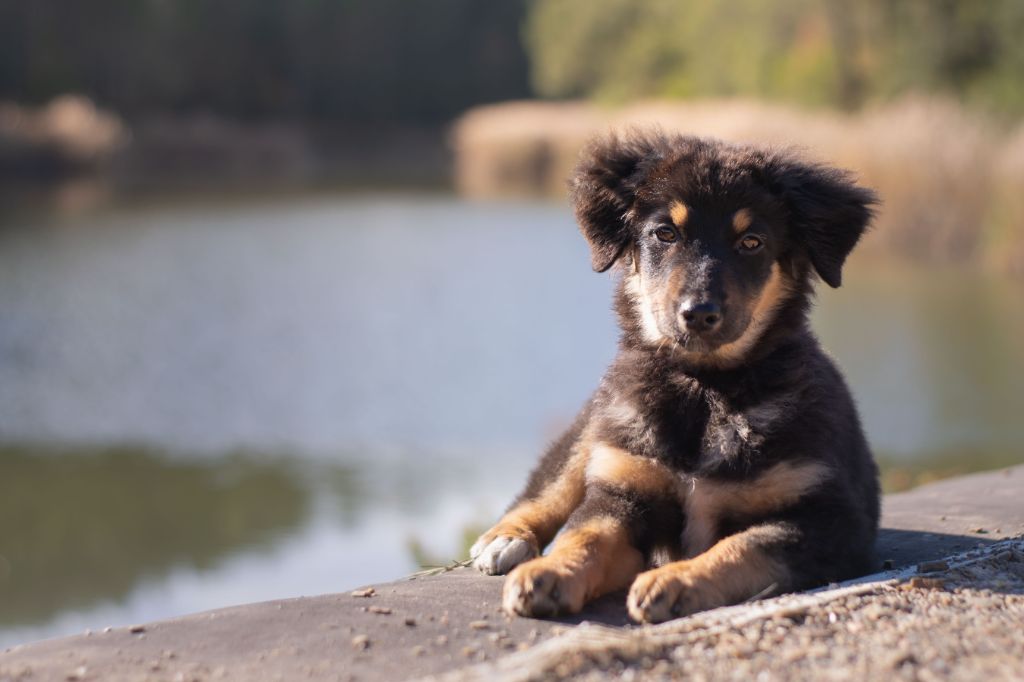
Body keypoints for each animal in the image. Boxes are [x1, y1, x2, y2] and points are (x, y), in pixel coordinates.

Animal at [471, 129, 880, 622]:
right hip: (597, 429)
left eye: (752, 242)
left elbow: (744, 545)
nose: (699, 313)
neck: (704, 390)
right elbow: (585, 533)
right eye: (665, 233)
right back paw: (506, 540)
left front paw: (675, 581)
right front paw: (550, 572)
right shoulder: (624, 490)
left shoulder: (829, 519)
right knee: (551, 484)